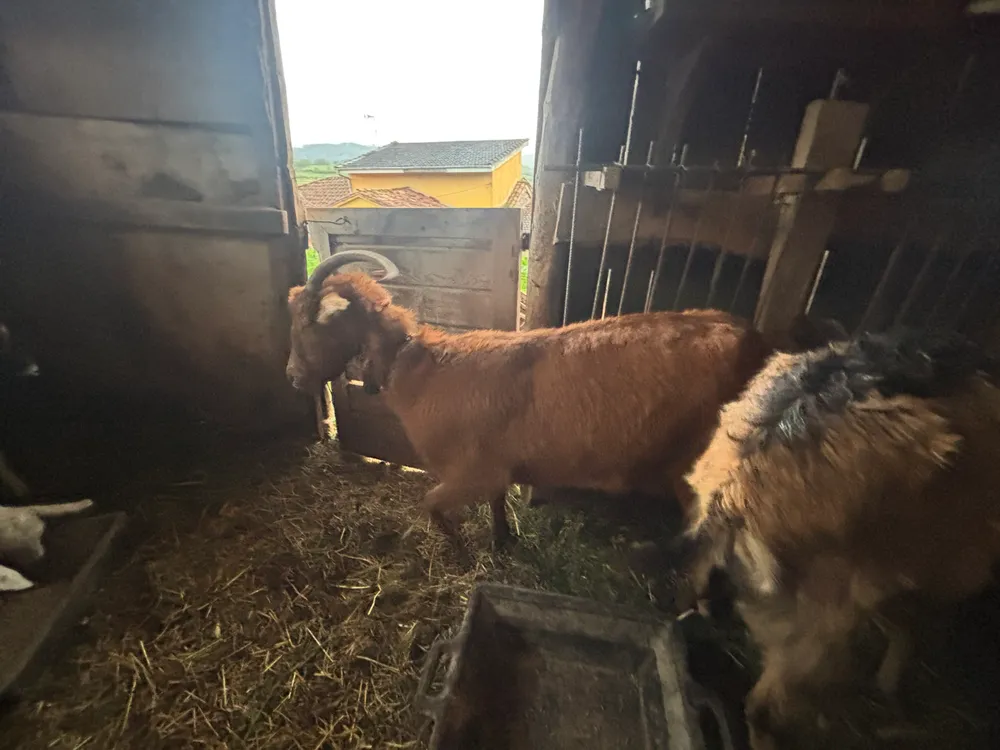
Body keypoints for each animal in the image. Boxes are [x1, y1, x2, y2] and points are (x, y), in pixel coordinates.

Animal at [286, 250, 776, 549]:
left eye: (307, 322)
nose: (292, 377)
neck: (421, 368)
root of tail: (755, 341)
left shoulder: (466, 472)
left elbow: (430, 504)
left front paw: (456, 546)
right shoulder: (495, 467)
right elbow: (497, 503)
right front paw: (502, 541)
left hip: (698, 471)